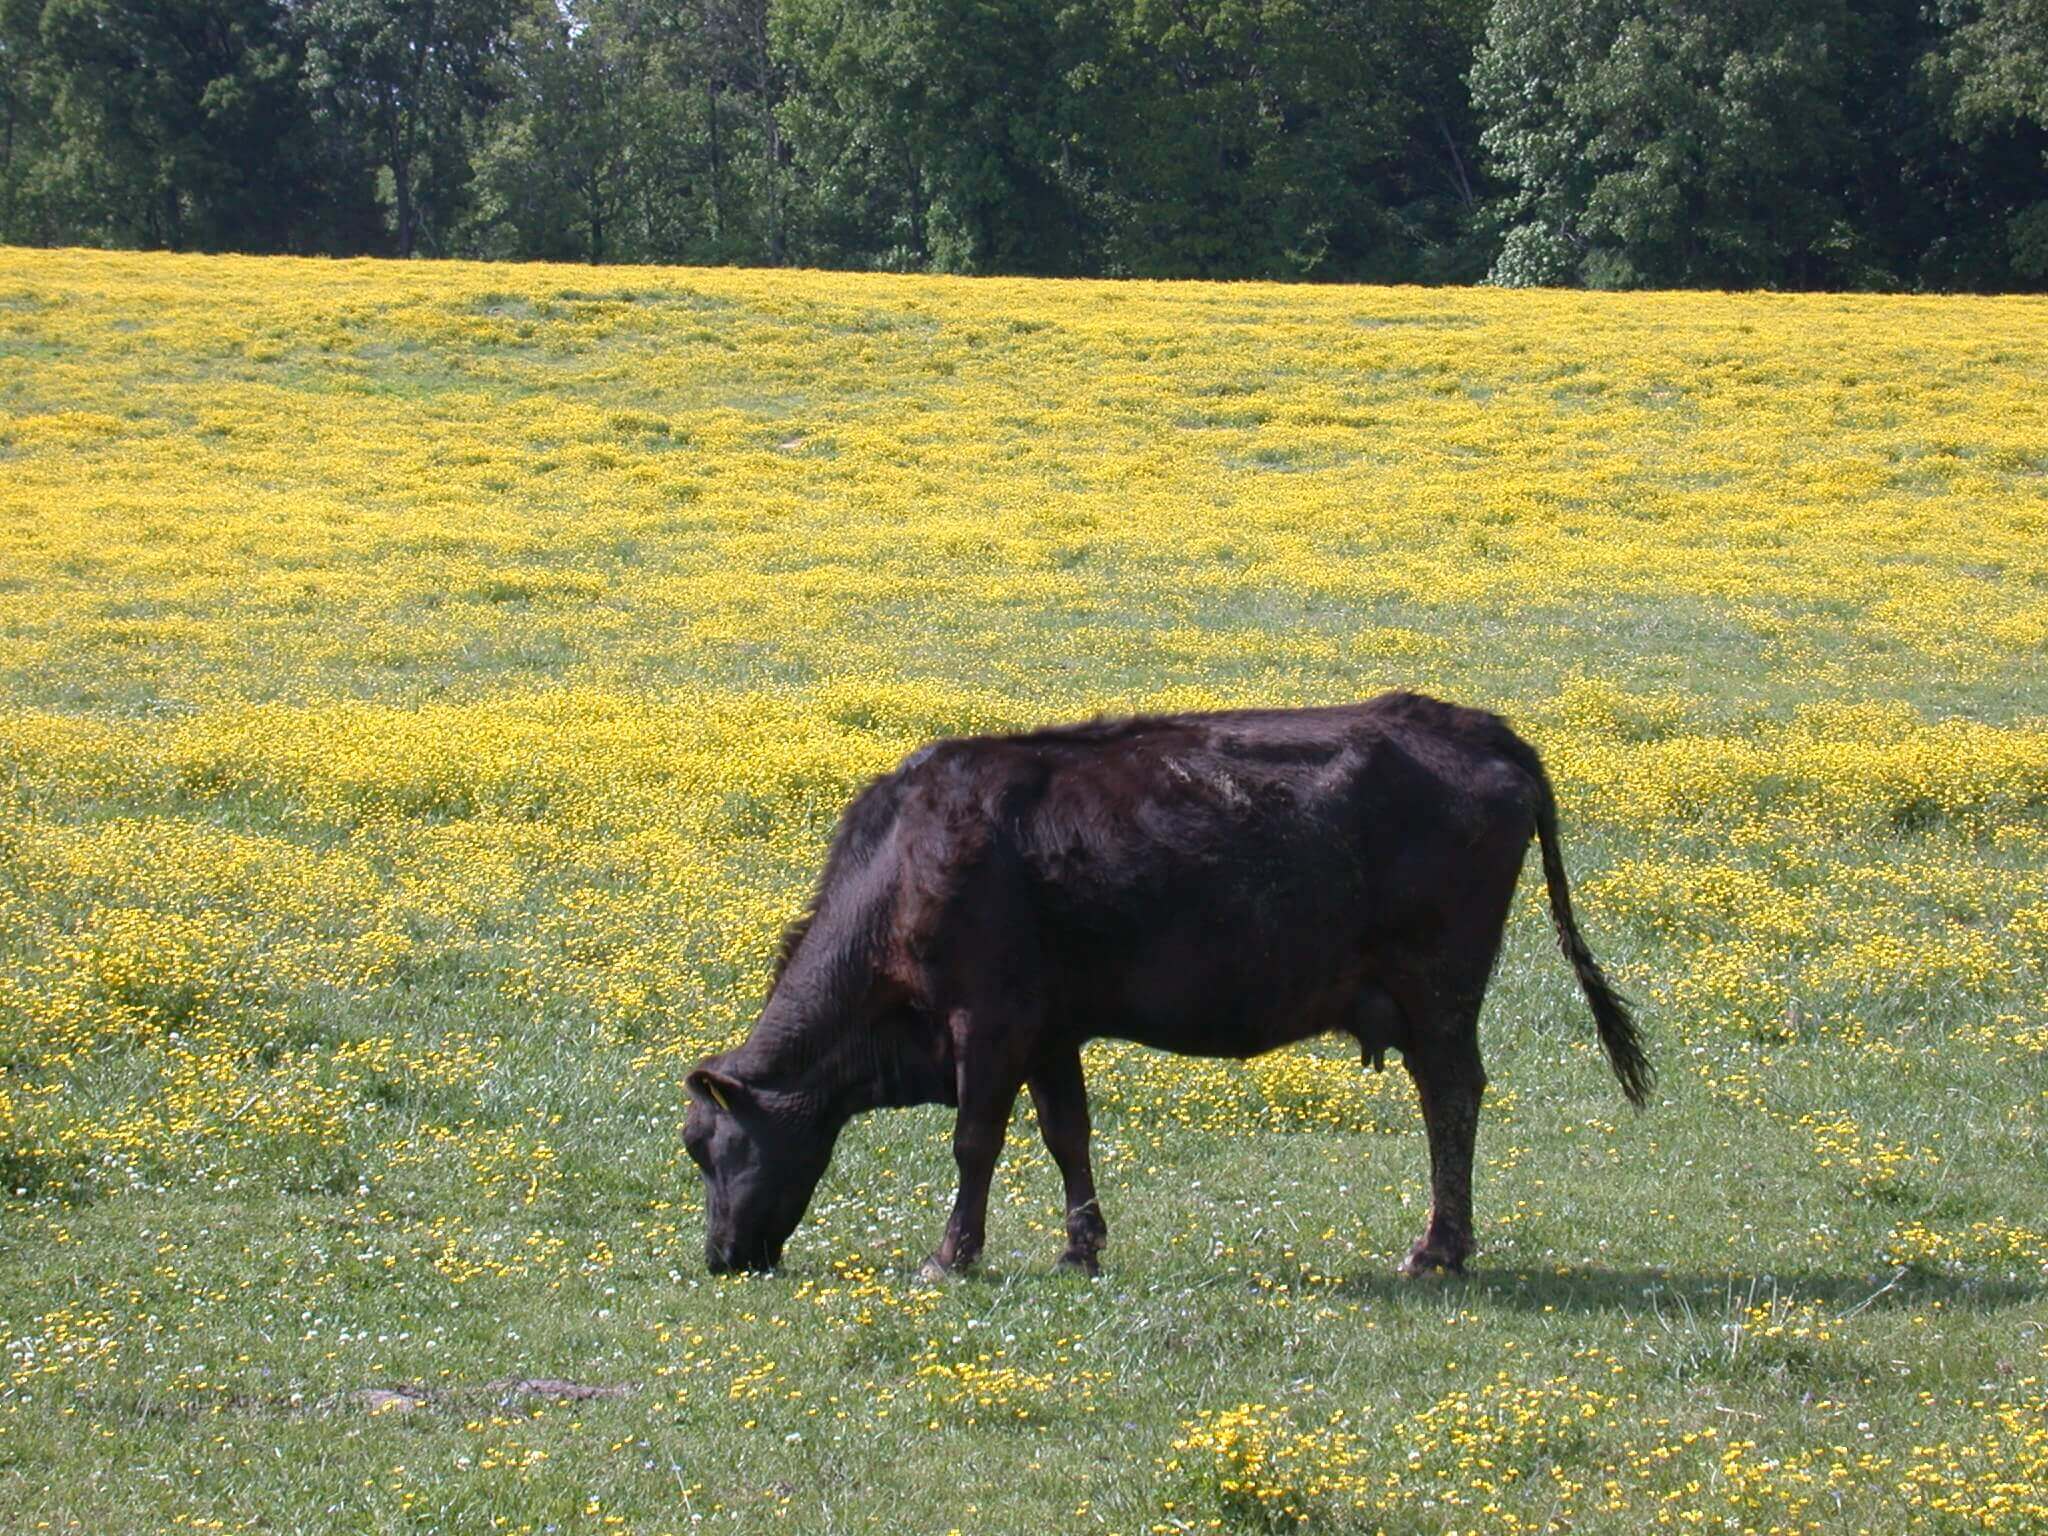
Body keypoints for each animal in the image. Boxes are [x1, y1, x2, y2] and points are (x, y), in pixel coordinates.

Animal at [688, 692, 1646, 1277]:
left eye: (711, 1147)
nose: (722, 1257)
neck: (905, 865)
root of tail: (1473, 724)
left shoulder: (987, 1021)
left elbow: (975, 1141)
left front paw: (950, 1257)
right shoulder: (1051, 1028)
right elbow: (1066, 1134)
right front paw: (1080, 1249)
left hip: (1438, 990)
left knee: (1451, 1096)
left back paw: (1438, 1248)